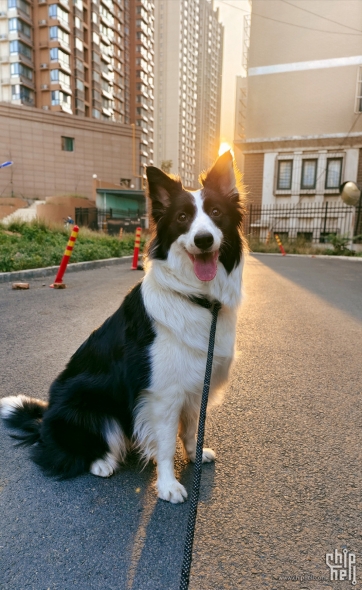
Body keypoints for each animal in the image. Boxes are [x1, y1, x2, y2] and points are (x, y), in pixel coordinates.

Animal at [0, 150, 245, 506]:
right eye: (182, 217)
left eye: (215, 213)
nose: (203, 239)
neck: (198, 298)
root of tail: (44, 421)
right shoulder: (163, 394)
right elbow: (166, 443)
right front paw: (168, 485)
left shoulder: (193, 384)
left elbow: (188, 430)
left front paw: (195, 455)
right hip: (91, 407)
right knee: (65, 451)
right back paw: (101, 462)